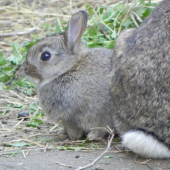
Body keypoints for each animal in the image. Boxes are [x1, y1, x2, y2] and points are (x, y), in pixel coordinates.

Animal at [23, 10, 114, 141]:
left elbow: (74, 129)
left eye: (45, 56)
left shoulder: (70, 117)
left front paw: (72, 137)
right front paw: (63, 134)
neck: (68, 69)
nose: (25, 69)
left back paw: (92, 136)